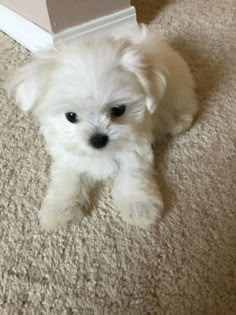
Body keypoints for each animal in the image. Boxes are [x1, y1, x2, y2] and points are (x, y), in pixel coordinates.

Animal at [8, 25, 197, 232]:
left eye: (118, 110)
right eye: (71, 116)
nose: (98, 139)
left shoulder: (135, 146)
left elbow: (133, 173)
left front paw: (139, 205)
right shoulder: (68, 153)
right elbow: (67, 178)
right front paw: (60, 209)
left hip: (176, 92)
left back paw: (179, 122)